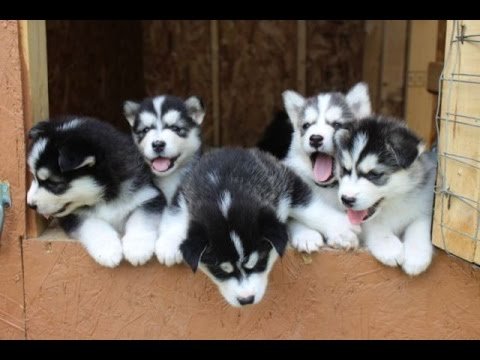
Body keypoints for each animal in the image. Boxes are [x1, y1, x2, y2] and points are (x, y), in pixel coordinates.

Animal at [26, 117, 165, 268]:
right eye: (33, 177)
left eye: (54, 183)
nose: (30, 205)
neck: (106, 195)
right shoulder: (72, 216)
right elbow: (93, 224)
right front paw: (108, 250)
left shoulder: (149, 195)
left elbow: (141, 218)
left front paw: (137, 247)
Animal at [336, 116, 436, 276]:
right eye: (345, 170)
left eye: (374, 174)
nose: (346, 199)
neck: (395, 203)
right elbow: (375, 225)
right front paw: (389, 247)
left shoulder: (425, 208)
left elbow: (418, 226)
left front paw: (416, 255)